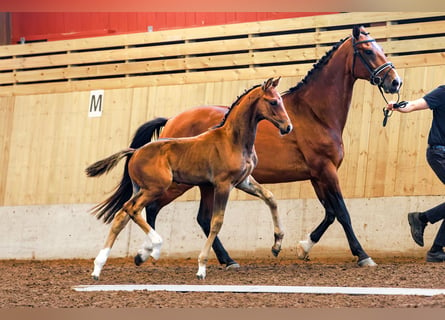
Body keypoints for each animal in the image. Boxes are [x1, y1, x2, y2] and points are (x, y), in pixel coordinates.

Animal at [88, 78, 294, 280]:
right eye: (273, 102)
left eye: (281, 101)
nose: (288, 127)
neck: (233, 140)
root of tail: (135, 151)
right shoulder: (223, 185)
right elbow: (216, 222)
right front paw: (202, 267)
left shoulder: (243, 181)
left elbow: (270, 198)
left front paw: (277, 245)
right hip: (157, 188)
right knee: (133, 209)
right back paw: (154, 247)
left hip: (142, 189)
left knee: (122, 216)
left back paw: (99, 268)